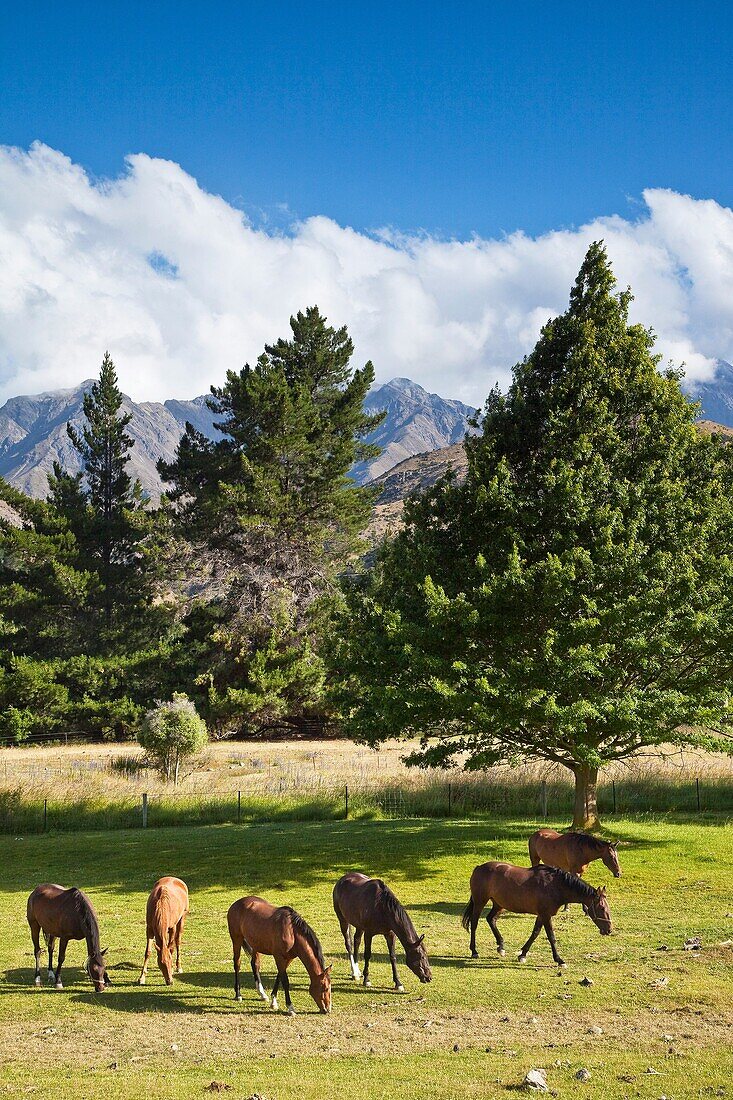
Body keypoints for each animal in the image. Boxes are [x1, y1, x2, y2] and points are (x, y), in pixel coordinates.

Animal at [462, 862, 611, 968]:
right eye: (602, 907)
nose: (609, 929)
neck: (555, 886)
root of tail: (479, 868)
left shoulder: (542, 915)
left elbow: (535, 933)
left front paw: (522, 954)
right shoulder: (545, 915)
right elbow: (551, 937)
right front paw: (559, 960)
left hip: (499, 905)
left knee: (490, 919)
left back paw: (501, 946)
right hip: (480, 902)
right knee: (474, 924)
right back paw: (474, 951)